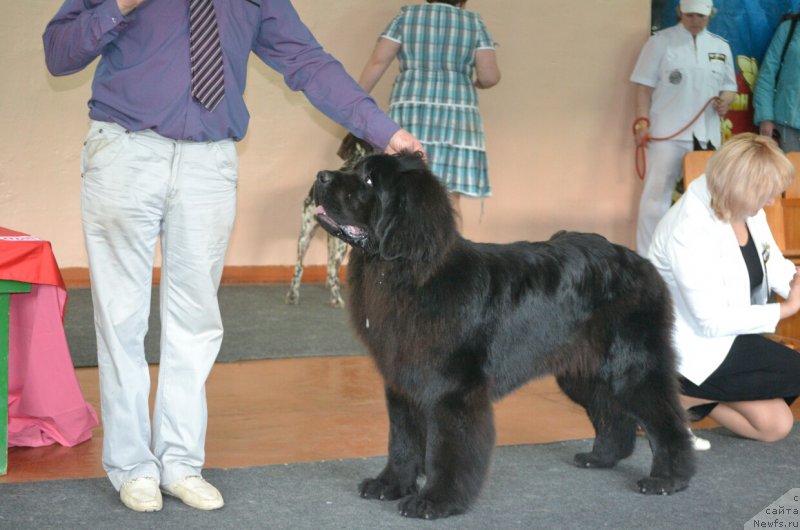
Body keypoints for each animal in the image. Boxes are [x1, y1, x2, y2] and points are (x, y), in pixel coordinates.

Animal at [312, 151, 692, 516]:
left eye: (369, 180)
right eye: (355, 168)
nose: (321, 176)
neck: (405, 273)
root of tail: (644, 264)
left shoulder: (451, 392)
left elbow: (447, 449)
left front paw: (436, 501)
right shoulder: (403, 384)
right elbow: (402, 441)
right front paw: (389, 485)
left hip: (633, 368)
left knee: (669, 420)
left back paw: (668, 479)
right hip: (582, 371)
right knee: (612, 413)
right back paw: (600, 458)